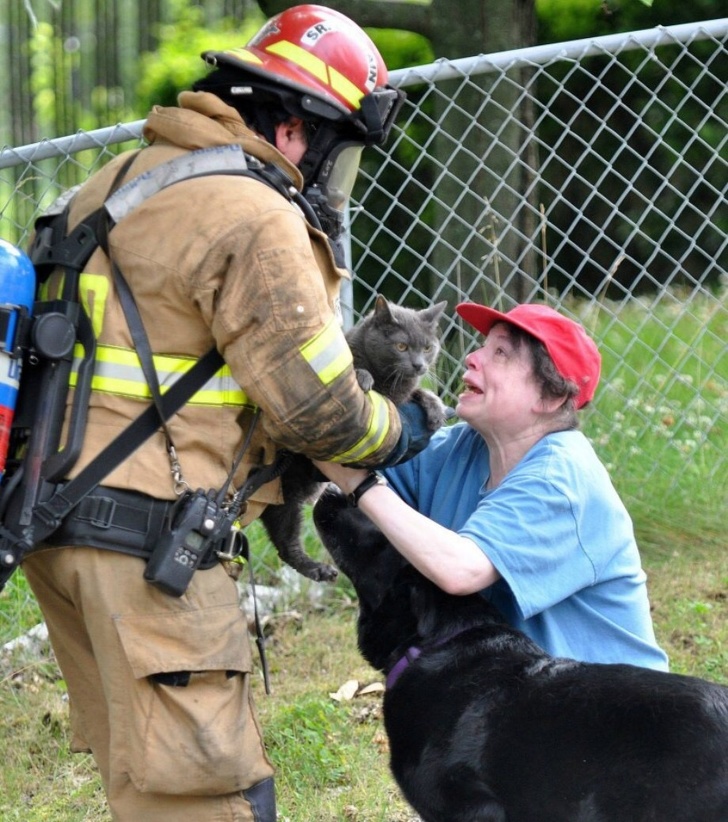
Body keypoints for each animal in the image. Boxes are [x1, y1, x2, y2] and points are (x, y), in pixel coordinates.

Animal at [258, 292, 446, 584]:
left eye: (428, 348)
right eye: (401, 346)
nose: (419, 365)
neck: (388, 380)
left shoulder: (398, 400)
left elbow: (417, 394)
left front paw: (436, 410)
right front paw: (362, 377)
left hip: (286, 498)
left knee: (283, 539)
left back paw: (318, 570)